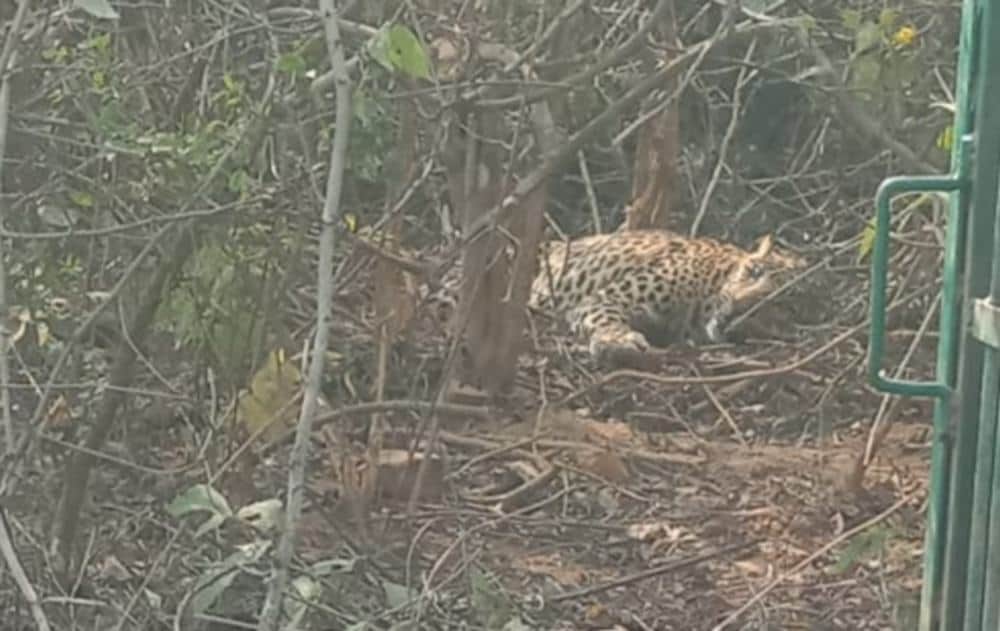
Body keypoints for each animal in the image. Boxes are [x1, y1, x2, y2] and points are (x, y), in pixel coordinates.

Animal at [424, 229, 807, 360]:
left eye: (782, 309)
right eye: (754, 272)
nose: (734, 315)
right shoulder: (606, 298)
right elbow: (606, 316)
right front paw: (618, 340)